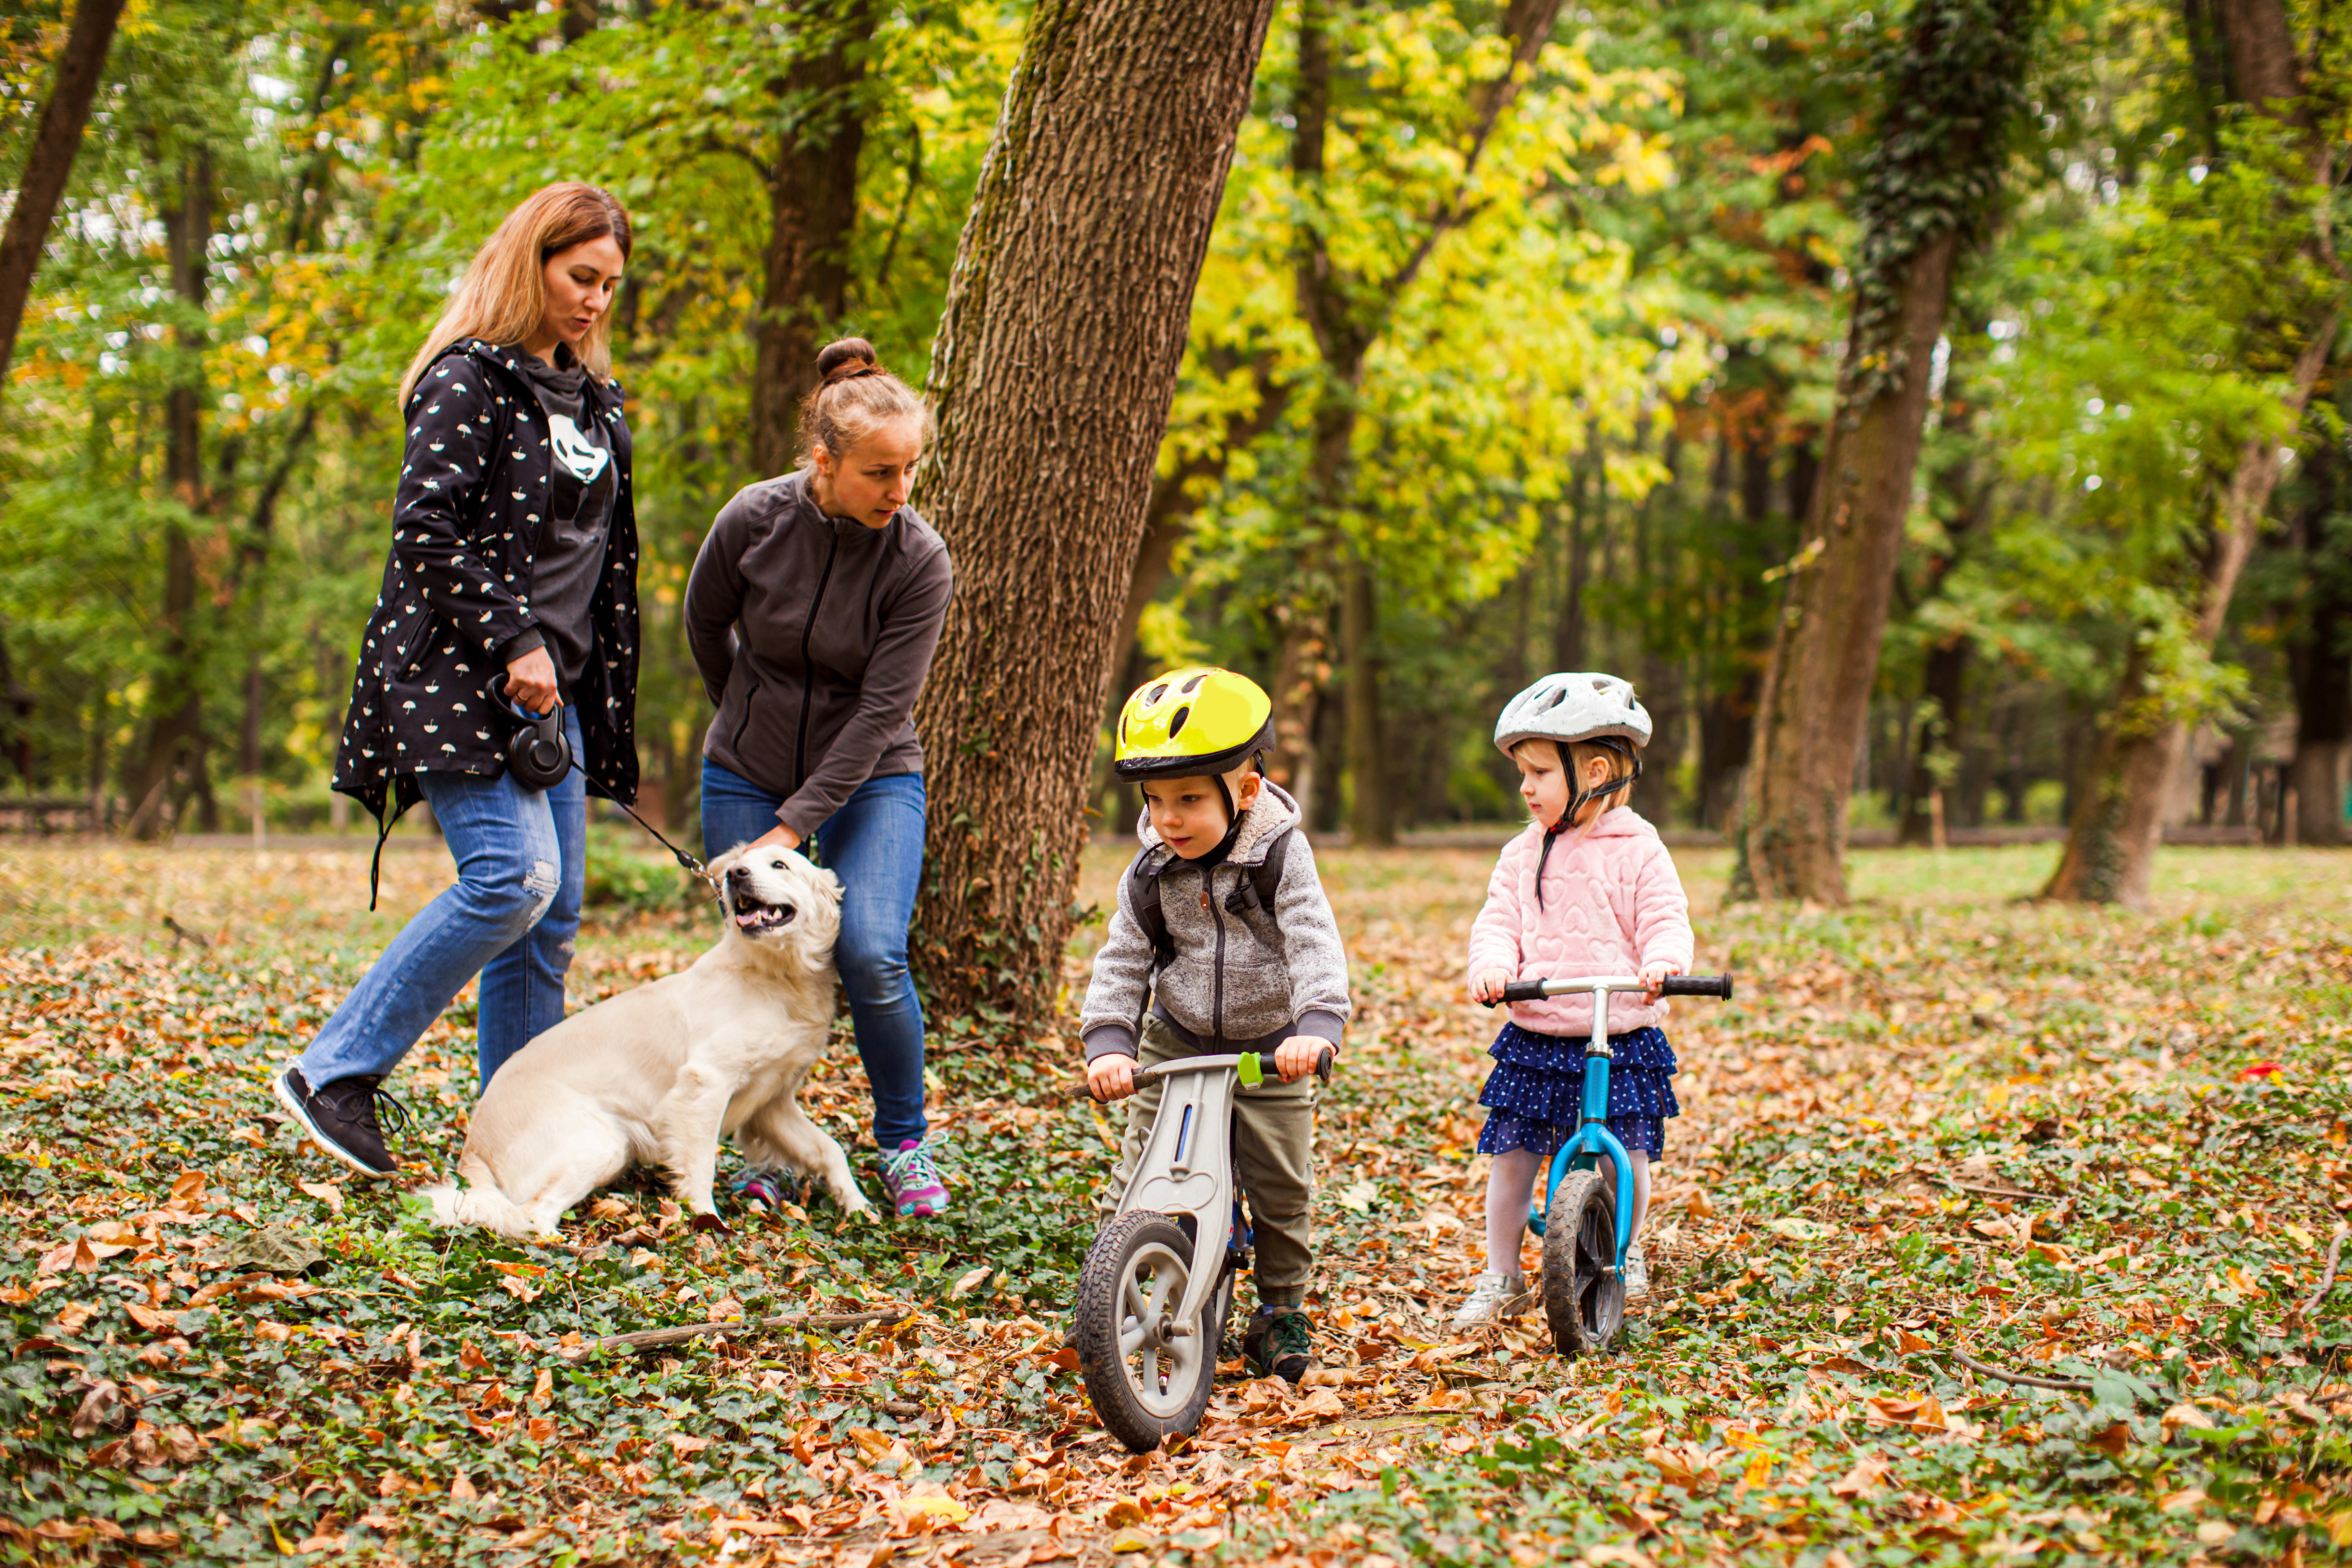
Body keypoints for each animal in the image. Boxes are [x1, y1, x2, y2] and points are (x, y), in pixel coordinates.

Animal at [418, 846, 870, 1241]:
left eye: (780, 865)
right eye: (740, 865)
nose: (733, 874)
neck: (776, 975)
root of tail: (474, 1149)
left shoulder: (772, 1103)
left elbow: (830, 1149)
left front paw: (859, 1205)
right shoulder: (705, 1086)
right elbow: (700, 1167)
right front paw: (709, 1223)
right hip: (602, 1142)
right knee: (531, 1215)